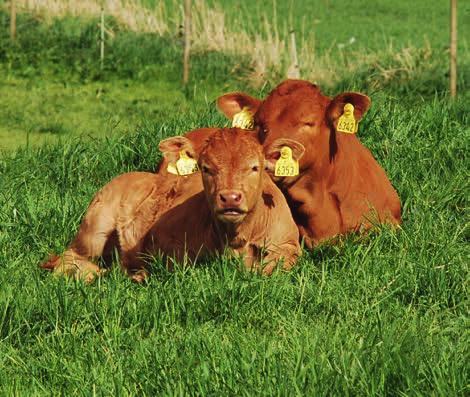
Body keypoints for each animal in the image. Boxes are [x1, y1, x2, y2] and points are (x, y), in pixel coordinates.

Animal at [42, 128, 302, 280]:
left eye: (255, 167)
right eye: (206, 168)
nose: (230, 198)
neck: (236, 239)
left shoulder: (288, 244)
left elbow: (274, 266)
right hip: (95, 227)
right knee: (68, 259)